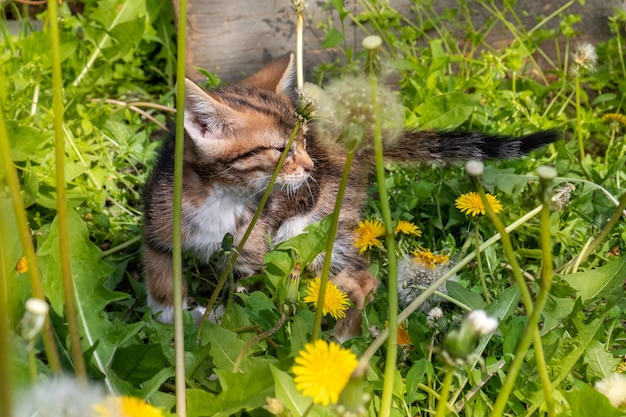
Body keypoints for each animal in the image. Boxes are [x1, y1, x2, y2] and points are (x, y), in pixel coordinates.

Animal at [141, 52, 556, 338]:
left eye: (303, 141)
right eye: (280, 150)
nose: (310, 166)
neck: (223, 195)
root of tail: (348, 145)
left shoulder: (252, 253)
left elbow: (241, 306)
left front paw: (216, 337)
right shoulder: (159, 224)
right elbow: (160, 273)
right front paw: (167, 319)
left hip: (312, 226)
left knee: (362, 279)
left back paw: (342, 341)